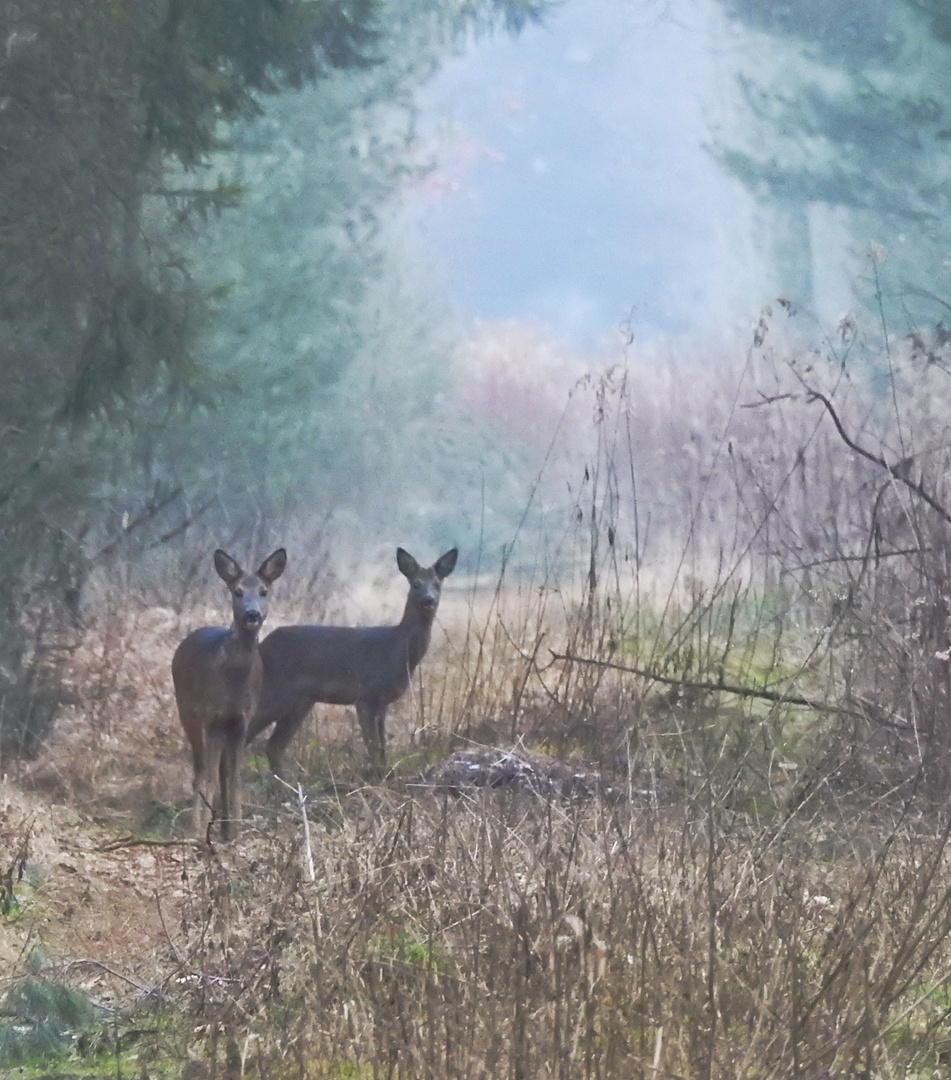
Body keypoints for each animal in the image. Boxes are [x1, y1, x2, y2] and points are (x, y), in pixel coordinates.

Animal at [172, 544, 284, 838]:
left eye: (264, 591)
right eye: (238, 591)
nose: (252, 614)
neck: (233, 679)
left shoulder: (242, 720)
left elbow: (233, 777)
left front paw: (235, 832)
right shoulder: (212, 717)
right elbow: (210, 776)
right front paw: (200, 832)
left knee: (220, 771)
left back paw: (223, 827)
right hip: (187, 712)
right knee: (200, 769)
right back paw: (198, 827)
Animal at [247, 548, 457, 777]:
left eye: (437, 584)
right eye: (416, 584)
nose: (428, 600)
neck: (397, 650)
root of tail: (261, 646)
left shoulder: (382, 702)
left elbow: (382, 747)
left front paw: (384, 774)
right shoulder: (365, 695)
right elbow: (373, 745)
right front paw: (375, 776)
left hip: (301, 701)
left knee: (274, 745)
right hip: (274, 691)